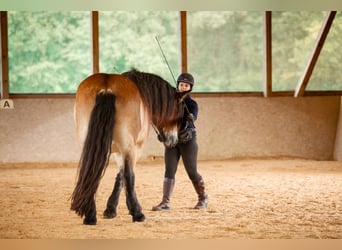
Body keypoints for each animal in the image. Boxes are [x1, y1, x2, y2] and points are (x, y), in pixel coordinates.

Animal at [70, 68, 187, 225]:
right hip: (128, 147)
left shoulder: (117, 151)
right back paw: (138, 214)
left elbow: (119, 176)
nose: (173, 140)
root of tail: (106, 88)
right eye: (178, 112)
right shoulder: (132, 150)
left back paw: (90, 215)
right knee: (126, 175)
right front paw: (119, 208)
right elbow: (124, 176)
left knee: (91, 173)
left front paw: (110, 209)